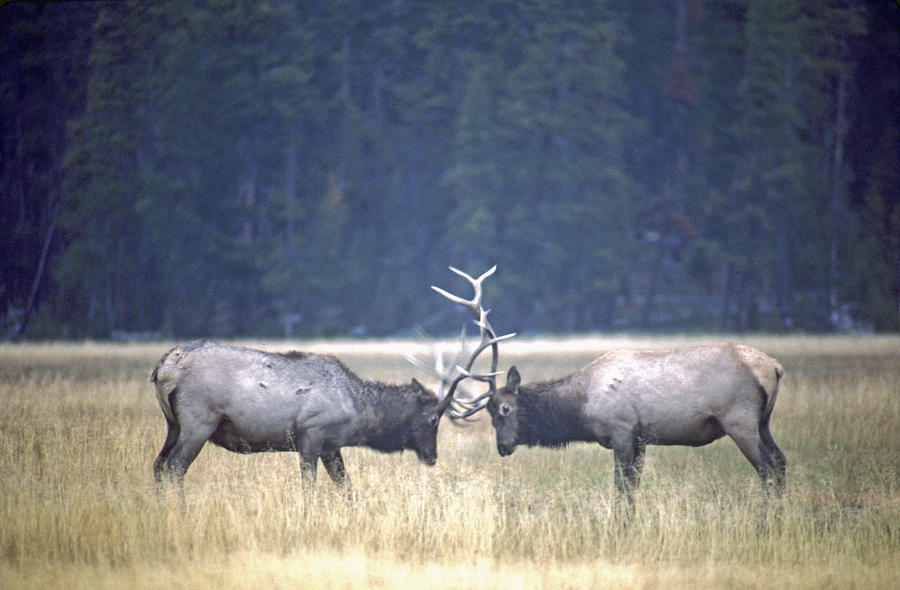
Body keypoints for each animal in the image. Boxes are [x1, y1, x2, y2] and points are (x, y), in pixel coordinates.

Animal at [432, 272, 784, 500]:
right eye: (489, 412)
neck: (583, 407)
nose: (502, 447)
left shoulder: (622, 431)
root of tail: (774, 368)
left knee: (766, 469)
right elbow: (633, 489)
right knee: (781, 463)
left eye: (504, 408)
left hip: (739, 419)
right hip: (763, 422)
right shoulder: (641, 439)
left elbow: (621, 488)